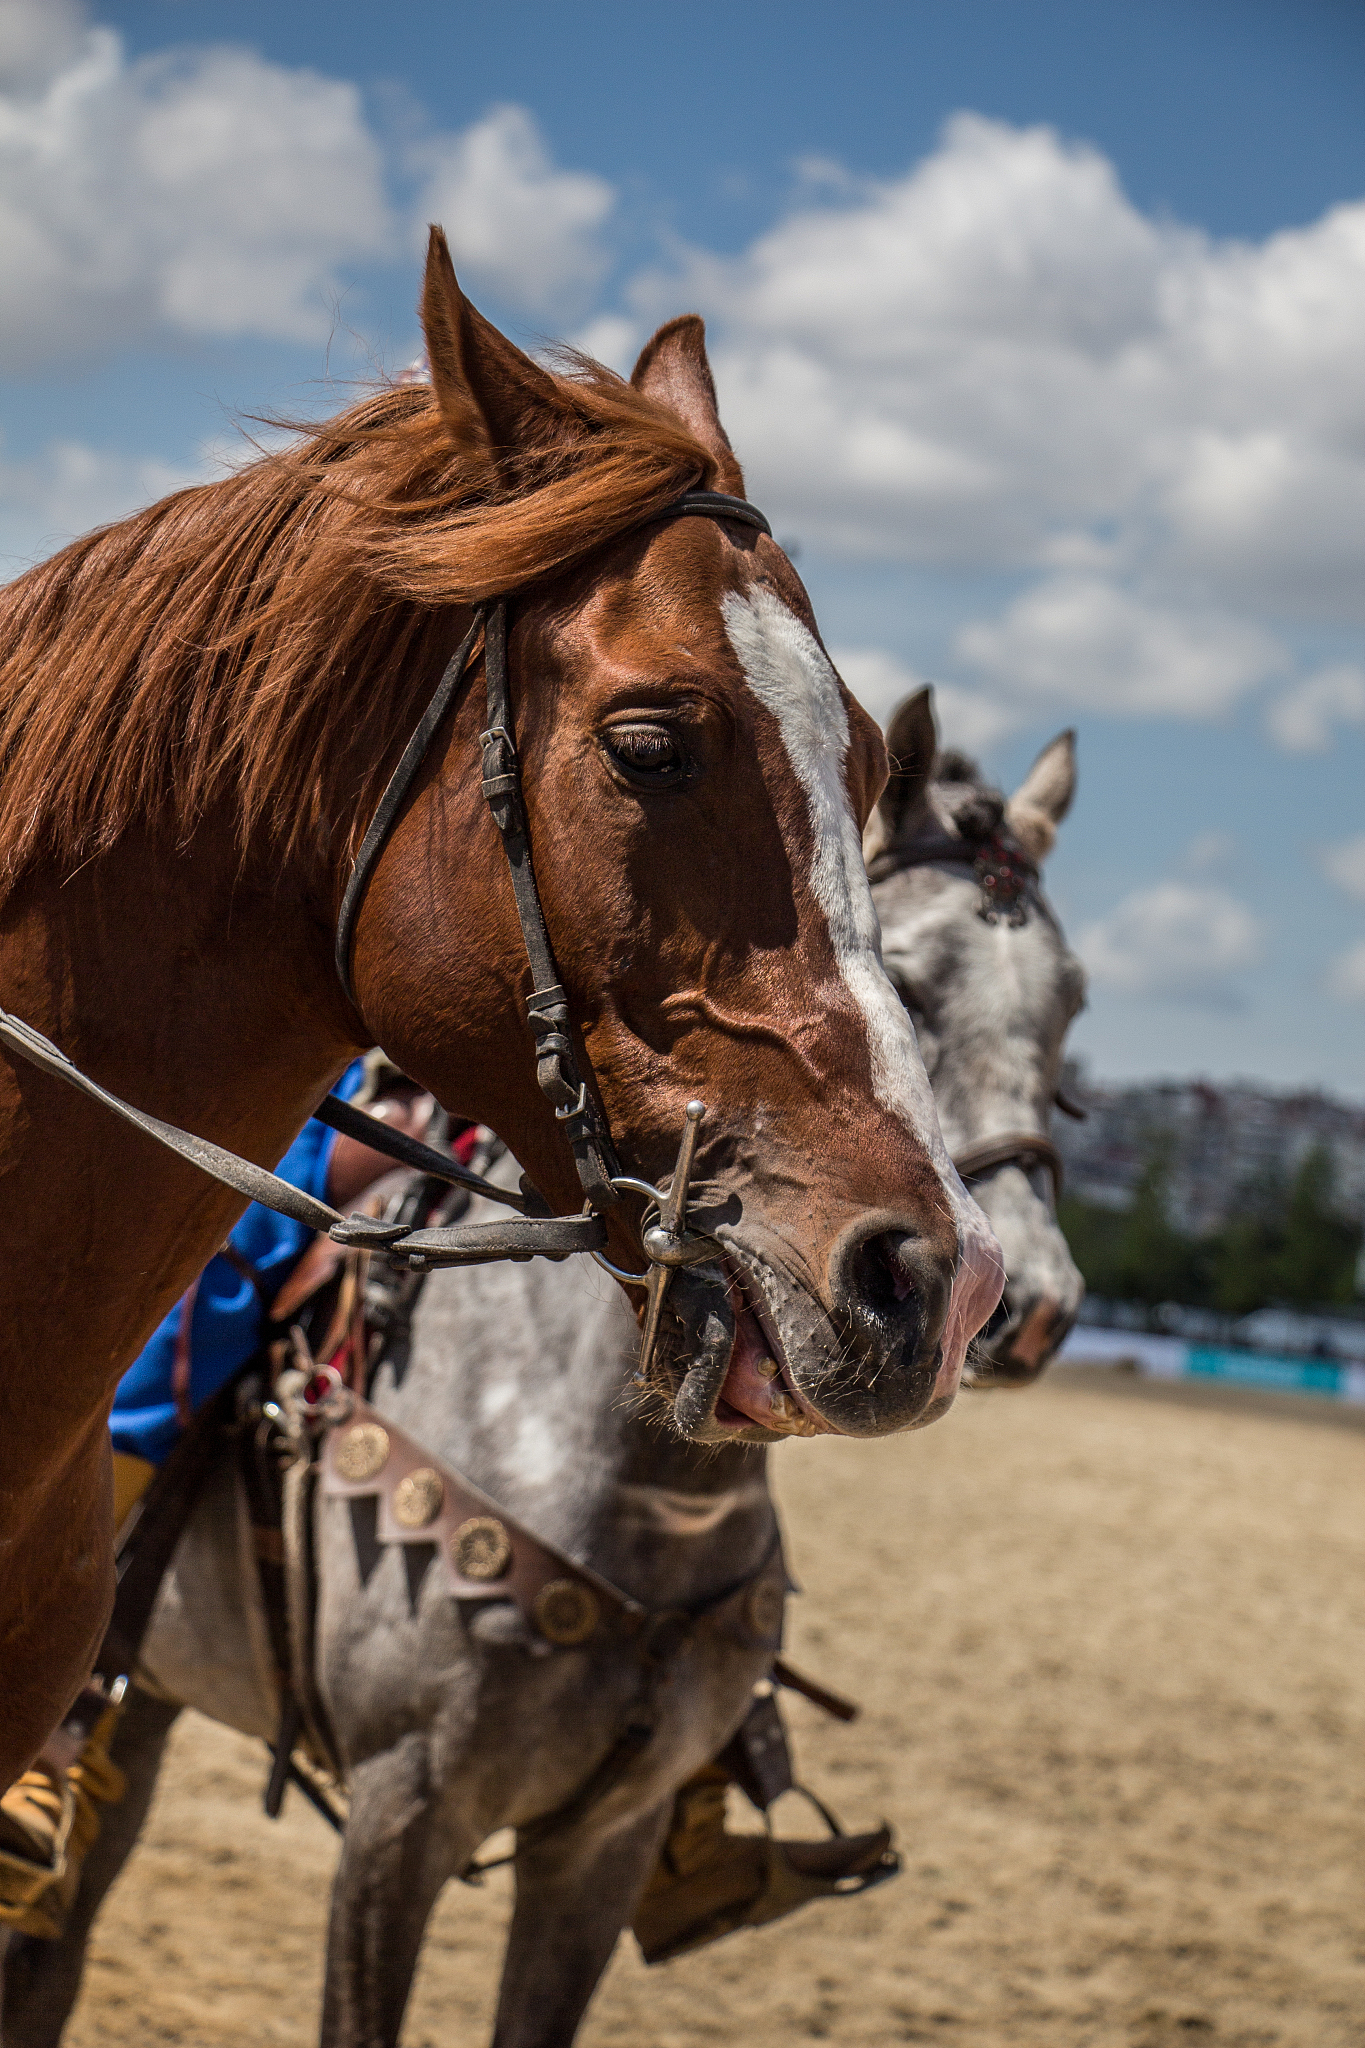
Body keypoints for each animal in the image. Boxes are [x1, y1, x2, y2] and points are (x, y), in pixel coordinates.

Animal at [0, 694, 1082, 2048]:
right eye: (921, 982)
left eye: (1068, 1007)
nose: (1004, 1297)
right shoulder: (403, 1810)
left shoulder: (602, 1842)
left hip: (147, 1691)